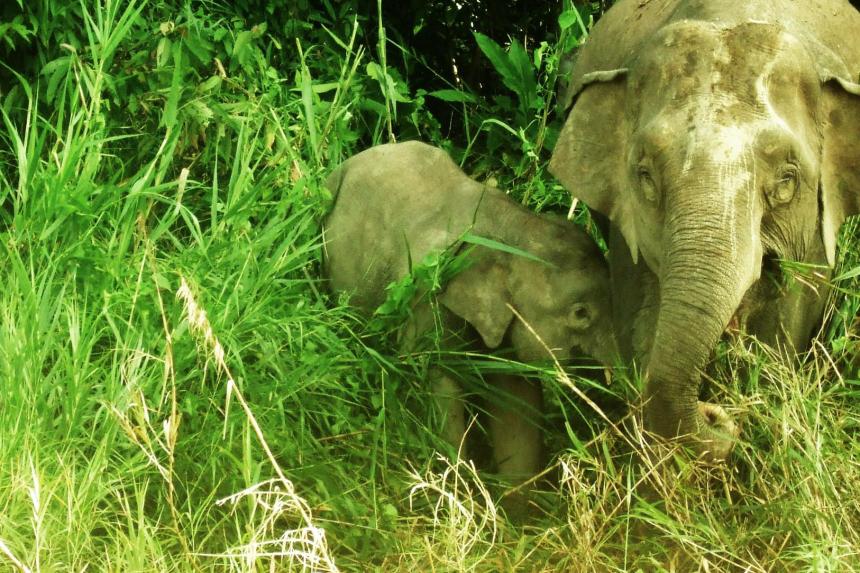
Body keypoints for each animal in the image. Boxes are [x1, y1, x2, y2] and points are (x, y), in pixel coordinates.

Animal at [323, 141, 618, 480]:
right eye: (580, 314)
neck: (513, 228)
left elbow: (515, 402)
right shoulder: (427, 299)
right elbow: (440, 388)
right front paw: (458, 482)